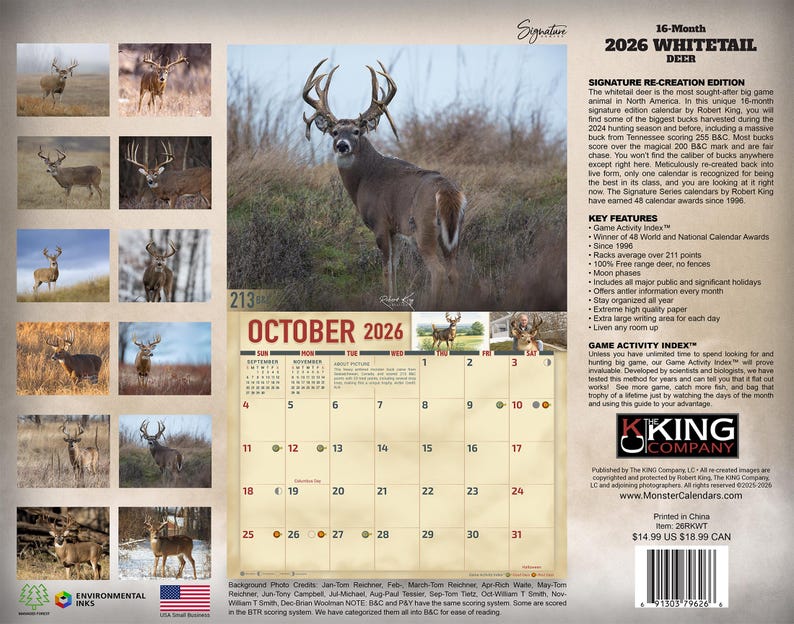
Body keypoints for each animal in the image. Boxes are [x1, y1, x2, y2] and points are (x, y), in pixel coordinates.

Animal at [302, 59, 466, 308]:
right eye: (334, 131)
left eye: (356, 131)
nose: (342, 145)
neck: (365, 179)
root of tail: (446, 191)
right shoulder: (396, 230)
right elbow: (395, 267)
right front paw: (395, 299)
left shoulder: (380, 222)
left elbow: (386, 268)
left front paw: (386, 300)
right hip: (452, 235)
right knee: (453, 272)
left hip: (424, 228)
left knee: (437, 271)